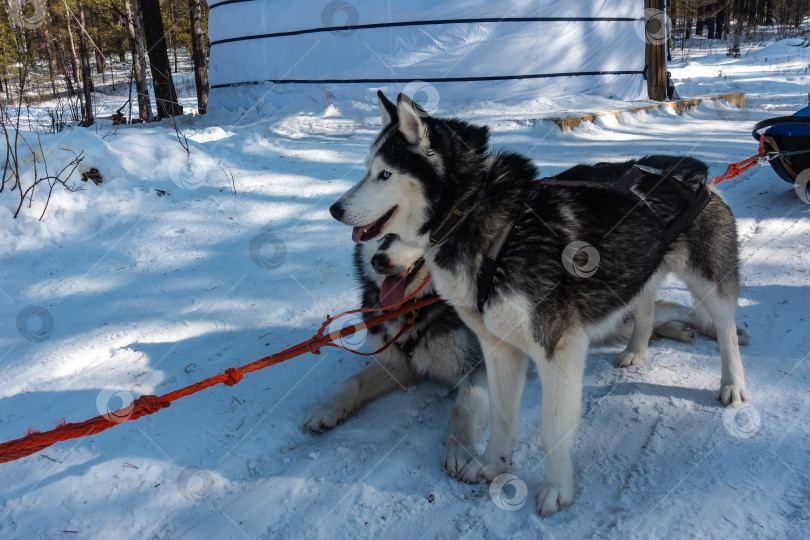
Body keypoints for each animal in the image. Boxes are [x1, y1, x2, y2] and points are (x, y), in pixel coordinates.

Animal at [328, 93, 744, 516]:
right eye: (367, 169)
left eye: (385, 174)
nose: (335, 209)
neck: (478, 220)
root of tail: (692, 170)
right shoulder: (497, 348)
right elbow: (501, 416)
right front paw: (492, 465)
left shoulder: (558, 349)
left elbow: (553, 427)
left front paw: (557, 488)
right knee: (646, 308)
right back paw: (637, 350)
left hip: (709, 282)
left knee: (724, 329)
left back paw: (733, 384)